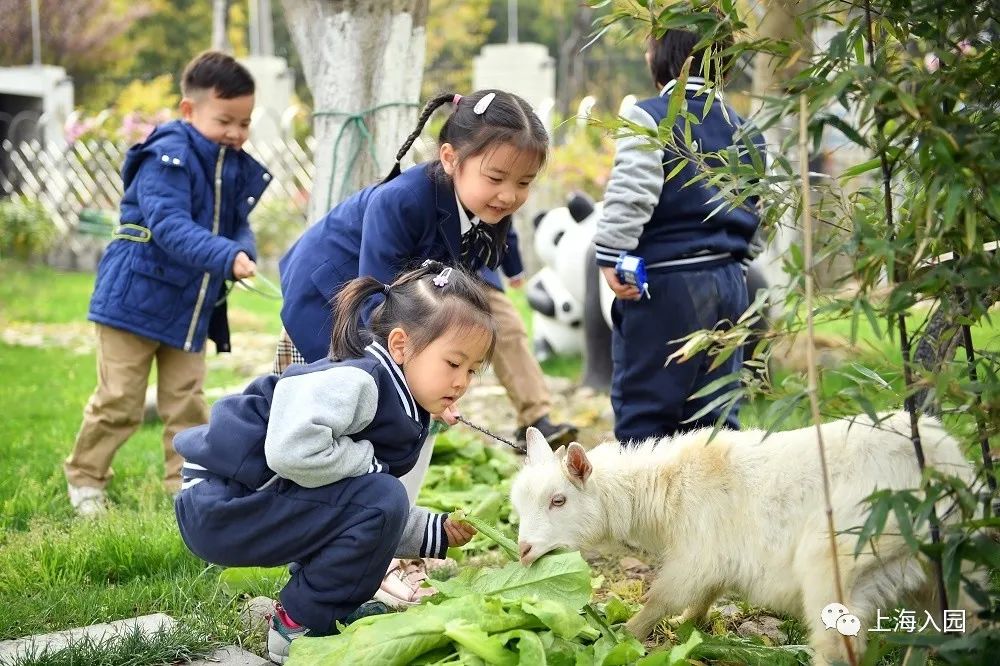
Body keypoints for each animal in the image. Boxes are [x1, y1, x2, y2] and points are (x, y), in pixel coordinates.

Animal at [512, 412, 980, 660]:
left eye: (558, 500)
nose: (524, 550)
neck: (667, 488)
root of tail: (941, 473)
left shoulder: (696, 555)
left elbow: (662, 597)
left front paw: (621, 635)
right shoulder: (716, 557)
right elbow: (704, 596)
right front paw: (686, 628)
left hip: (840, 559)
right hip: (945, 571)